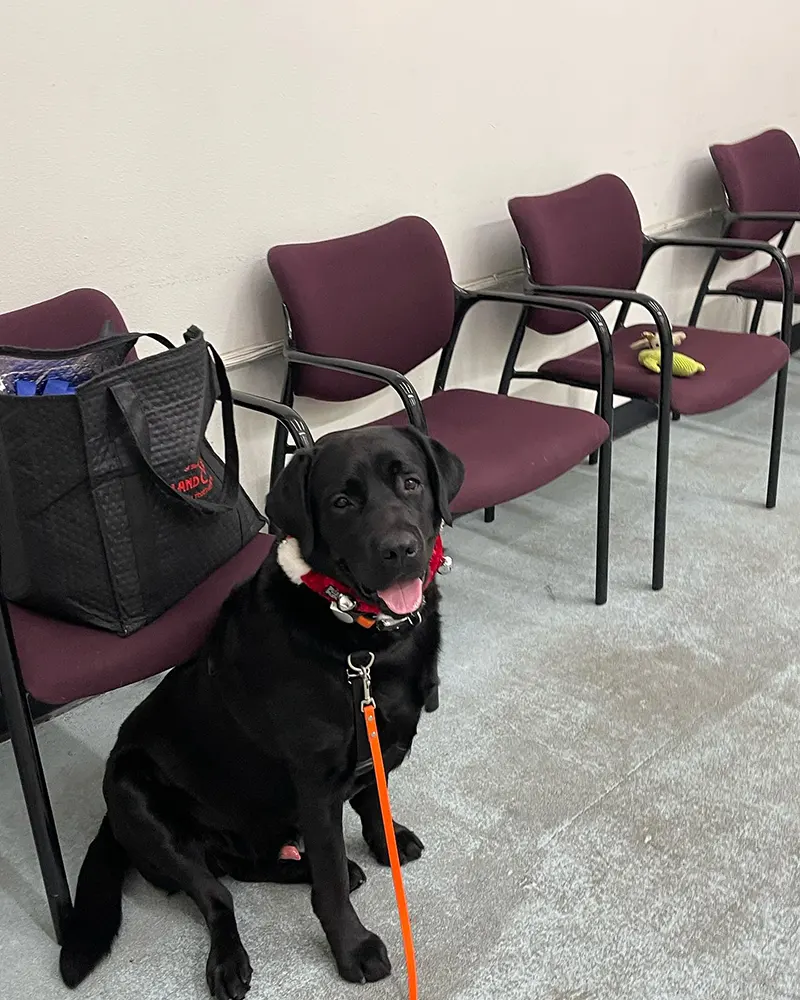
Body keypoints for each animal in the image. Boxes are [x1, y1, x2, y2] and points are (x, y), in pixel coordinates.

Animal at [59, 426, 462, 1000]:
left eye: (410, 482)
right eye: (341, 502)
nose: (400, 549)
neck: (364, 647)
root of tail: (109, 821)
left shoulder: (375, 747)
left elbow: (370, 802)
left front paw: (386, 841)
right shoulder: (316, 787)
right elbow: (330, 885)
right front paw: (353, 948)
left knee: (246, 870)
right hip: (137, 795)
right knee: (217, 896)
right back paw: (228, 960)